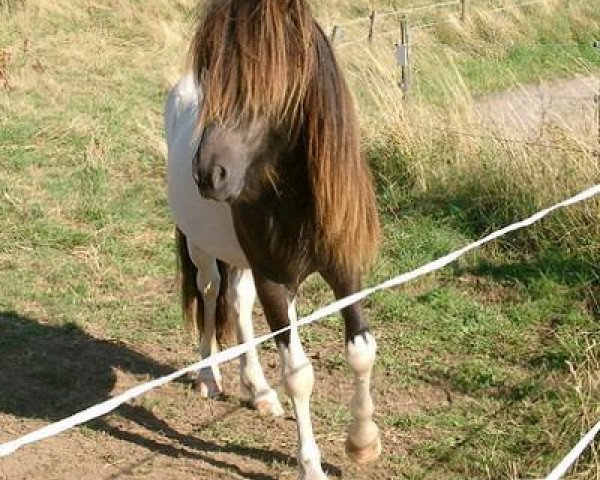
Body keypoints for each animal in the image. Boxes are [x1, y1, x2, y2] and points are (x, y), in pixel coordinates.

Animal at [164, 1, 380, 478]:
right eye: (211, 70)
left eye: (270, 75)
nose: (208, 175)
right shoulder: (277, 283)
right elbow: (299, 374)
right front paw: (311, 466)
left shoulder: (345, 270)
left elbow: (361, 350)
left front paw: (362, 443)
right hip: (203, 249)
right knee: (212, 295)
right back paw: (208, 377)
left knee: (238, 302)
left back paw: (258, 390)